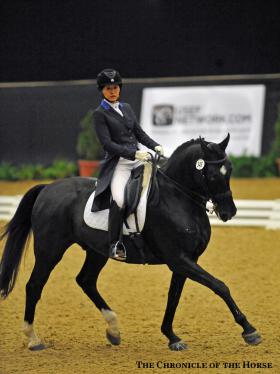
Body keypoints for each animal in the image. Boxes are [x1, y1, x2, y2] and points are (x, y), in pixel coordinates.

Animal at [0, 134, 262, 350]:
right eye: (213, 173)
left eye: (230, 170)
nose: (229, 212)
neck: (177, 198)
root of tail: (47, 188)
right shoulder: (179, 259)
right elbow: (220, 286)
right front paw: (249, 331)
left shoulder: (184, 262)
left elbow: (174, 297)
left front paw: (172, 337)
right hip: (49, 250)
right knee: (34, 286)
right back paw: (34, 339)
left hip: (97, 251)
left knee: (86, 281)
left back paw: (114, 331)